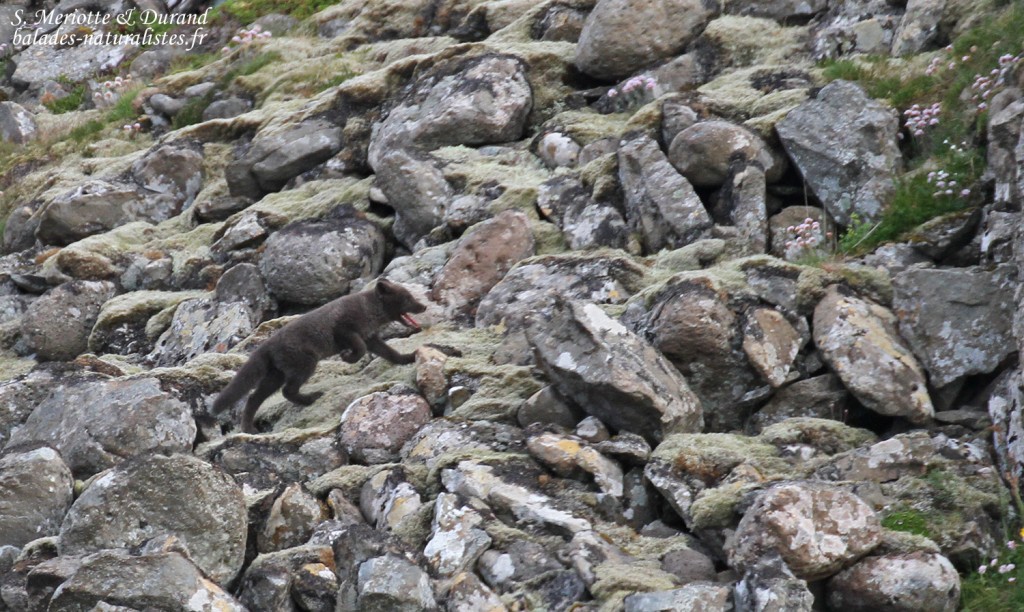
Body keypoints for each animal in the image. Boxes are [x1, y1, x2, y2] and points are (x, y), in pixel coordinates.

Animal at [212, 278, 427, 433]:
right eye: (407, 298)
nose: (423, 307)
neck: (368, 310)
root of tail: (265, 346)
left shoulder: (371, 337)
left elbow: (390, 353)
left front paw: (408, 358)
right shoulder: (344, 329)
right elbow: (360, 349)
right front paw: (347, 357)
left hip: (276, 375)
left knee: (254, 397)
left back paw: (249, 429)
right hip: (305, 363)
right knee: (286, 391)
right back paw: (312, 398)